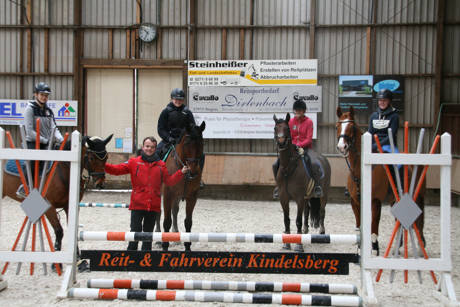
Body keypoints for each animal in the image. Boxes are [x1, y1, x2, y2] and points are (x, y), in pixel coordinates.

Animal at [159, 121, 206, 251]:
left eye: (202, 143)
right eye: (186, 143)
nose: (193, 171)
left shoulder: (192, 197)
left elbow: (188, 222)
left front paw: (187, 247)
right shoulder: (167, 195)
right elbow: (166, 221)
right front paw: (165, 246)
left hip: (177, 196)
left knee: (175, 210)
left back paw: (175, 235)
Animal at [274, 113, 330, 253]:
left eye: (287, 128)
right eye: (275, 128)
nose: (281, 142)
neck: (288, 168)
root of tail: (323, 158)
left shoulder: (299, 197)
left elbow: (298, 220)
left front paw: (299, 245)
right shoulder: (283, 197)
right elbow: (287, 219)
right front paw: (286, 243)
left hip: (323, 195)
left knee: (322, 211)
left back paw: (322, 232)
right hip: (306, 197)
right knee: (307, 210)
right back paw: (304, 231)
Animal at [334, 107, 428, 256]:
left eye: (351, 127)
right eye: (338, 126)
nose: (342, 146)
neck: (360, 170)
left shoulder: (375, 201)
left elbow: (373, 227)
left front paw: (374, 249)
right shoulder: (355, 202)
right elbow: (359, 227)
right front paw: (360, 249)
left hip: (417, 196)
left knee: (418, 221)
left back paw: (420, 246)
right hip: (396, 199)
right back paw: (397, 246)